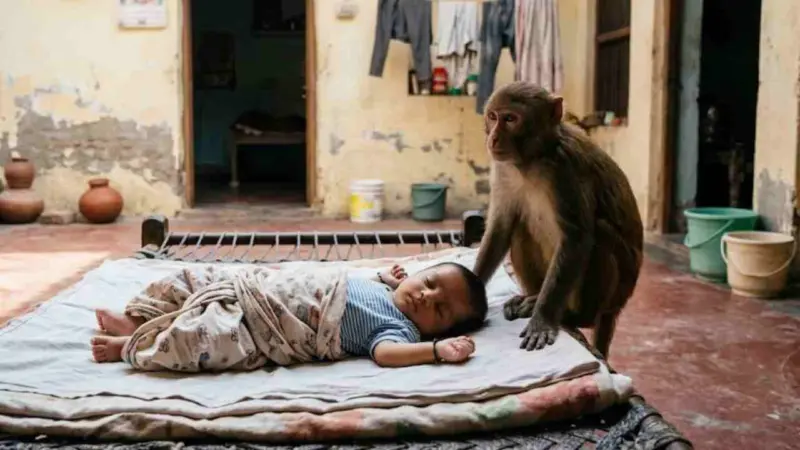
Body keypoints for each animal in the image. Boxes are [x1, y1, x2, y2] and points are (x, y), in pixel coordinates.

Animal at [472, 81, 643, 358]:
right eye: (493, 117)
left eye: (510, 119)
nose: (493, 138)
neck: (533, 159)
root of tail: (617, 307)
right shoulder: (503, 168)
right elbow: (501, 228)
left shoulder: (565, 170)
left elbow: (576, 239)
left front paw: (542, 320)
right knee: (520, 228)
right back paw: (531, 297)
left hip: (615, 293)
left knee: (599, 234)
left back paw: (574, 316)